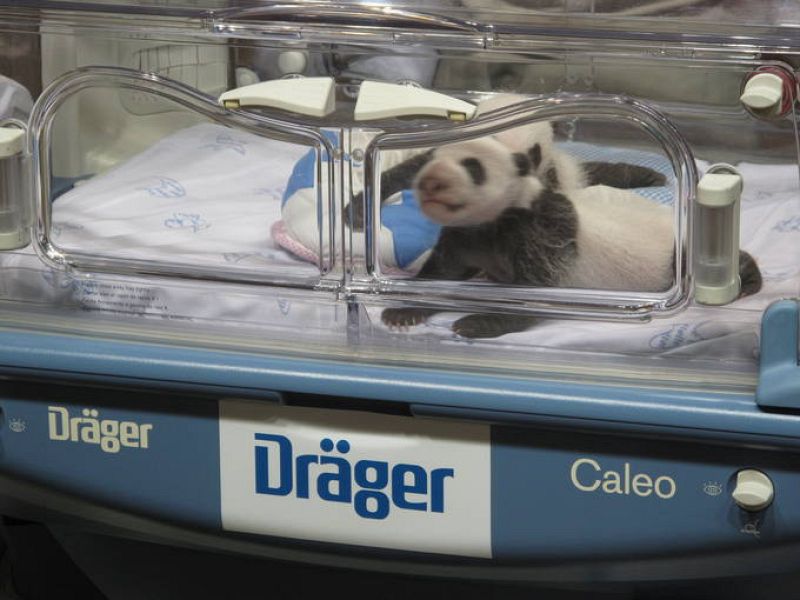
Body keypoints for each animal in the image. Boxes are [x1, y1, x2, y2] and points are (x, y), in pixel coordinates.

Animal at [382, 136, 762, 339]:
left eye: (473, 166)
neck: (491, 222)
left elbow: (535, 291)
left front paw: (476, 322)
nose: (432, 182)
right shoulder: (464, 236)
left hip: (677, 251)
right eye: (427, 162)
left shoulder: (540, 231)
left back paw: (748, 282)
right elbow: (441, 274)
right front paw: (403, 312)